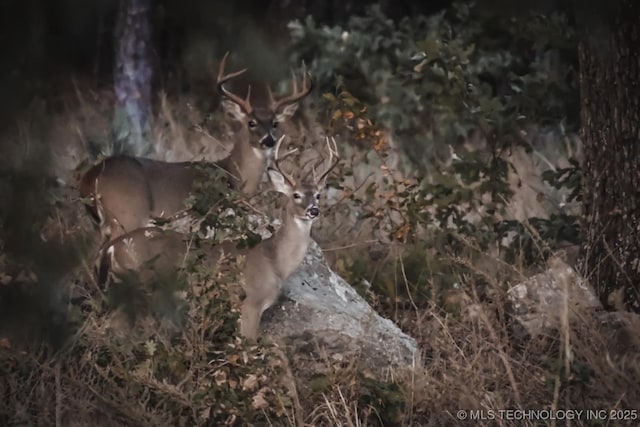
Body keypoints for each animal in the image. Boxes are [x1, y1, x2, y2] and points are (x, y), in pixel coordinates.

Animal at [80, 51, 312, 242]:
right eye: (251, 123)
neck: (232, 175)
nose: (269, 140)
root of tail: (91, 177)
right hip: (128, 212)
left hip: (100, 224)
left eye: (275, 123)